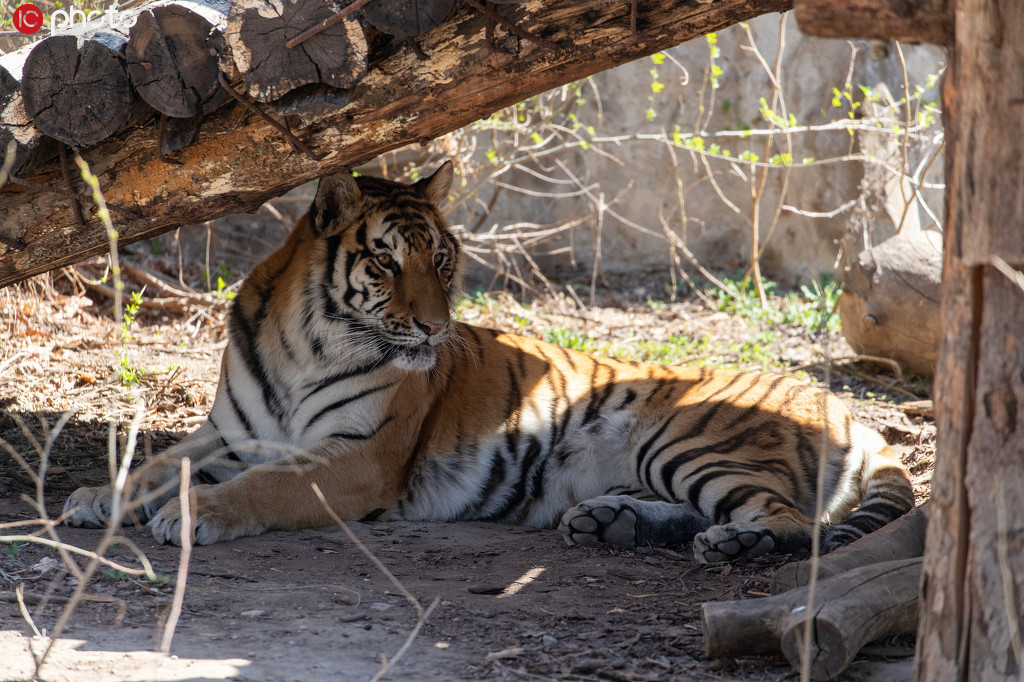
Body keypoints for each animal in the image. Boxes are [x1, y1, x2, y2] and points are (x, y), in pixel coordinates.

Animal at [61, 160, 913, 561]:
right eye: (387, 262)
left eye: (442, 260)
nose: (437, 329)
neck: (305, 341)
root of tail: (849, 409)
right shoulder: (230, 434)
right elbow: (153, 461)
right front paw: (96, 497)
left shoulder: (358, 457)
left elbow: (265, 486)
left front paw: (195, 513)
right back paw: (607, 521)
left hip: (690, 438)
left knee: (788, 520)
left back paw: (732, 545)